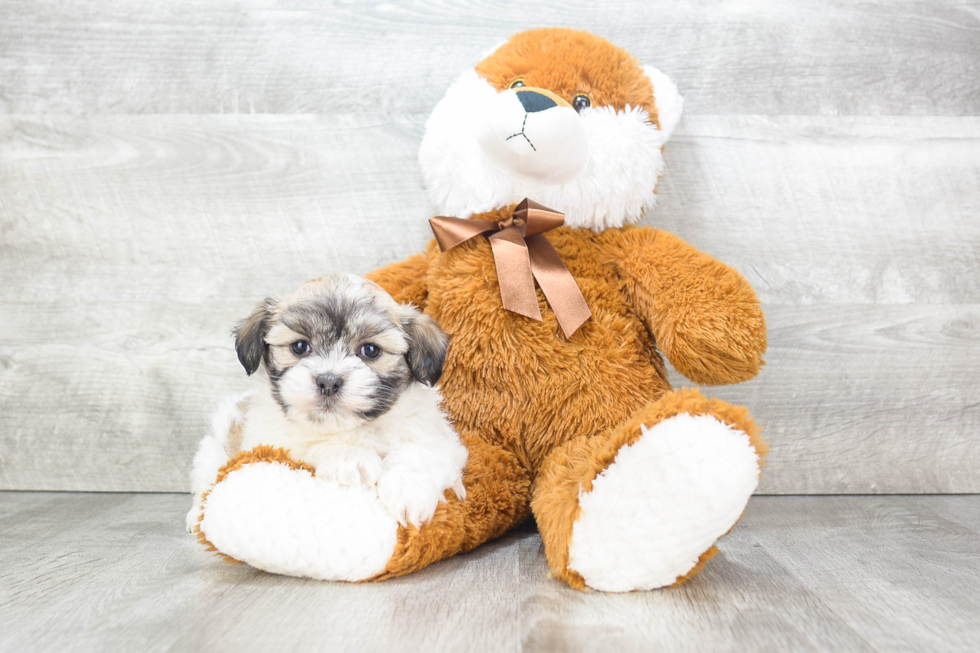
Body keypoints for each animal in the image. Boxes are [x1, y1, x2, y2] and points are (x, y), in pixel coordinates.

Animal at [190, 272, 470, 532]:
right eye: (300, 347)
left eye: (370, 350)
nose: (328, 381)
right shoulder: (269, 442)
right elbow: (308, 444)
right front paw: (351, 458)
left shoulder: (439, 439)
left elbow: (419, 452)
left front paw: (408, 493)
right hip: (211, 453)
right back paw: (195, 517)